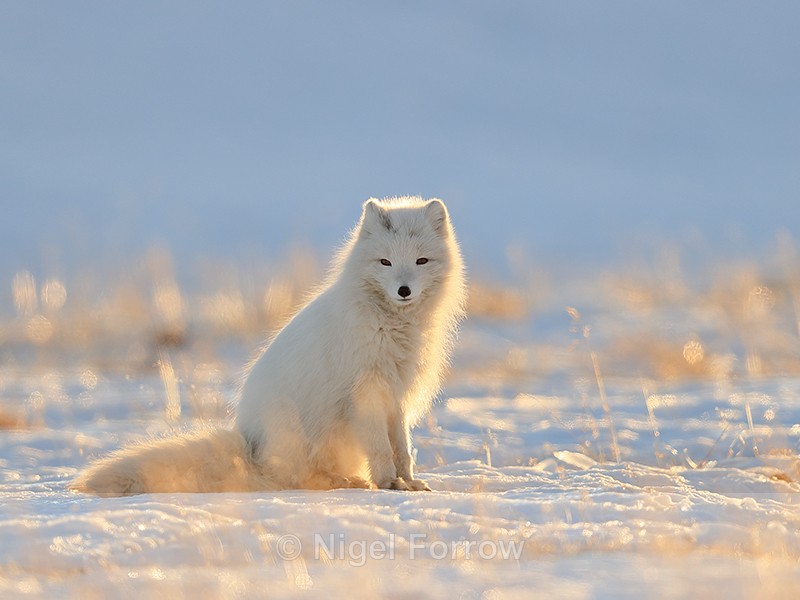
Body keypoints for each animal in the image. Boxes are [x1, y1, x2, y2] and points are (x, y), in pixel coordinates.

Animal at [71, 197, 466, 495]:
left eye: (421, 260)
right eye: (385, 261)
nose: (404, 290)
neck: (390, 324)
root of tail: (251, 449)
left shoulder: (396, 396)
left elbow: (402, 447)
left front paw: (410, 482)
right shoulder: (367, 392)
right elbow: (382, 450)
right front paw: (388, 484)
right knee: (295, 477)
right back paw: (346, 481)